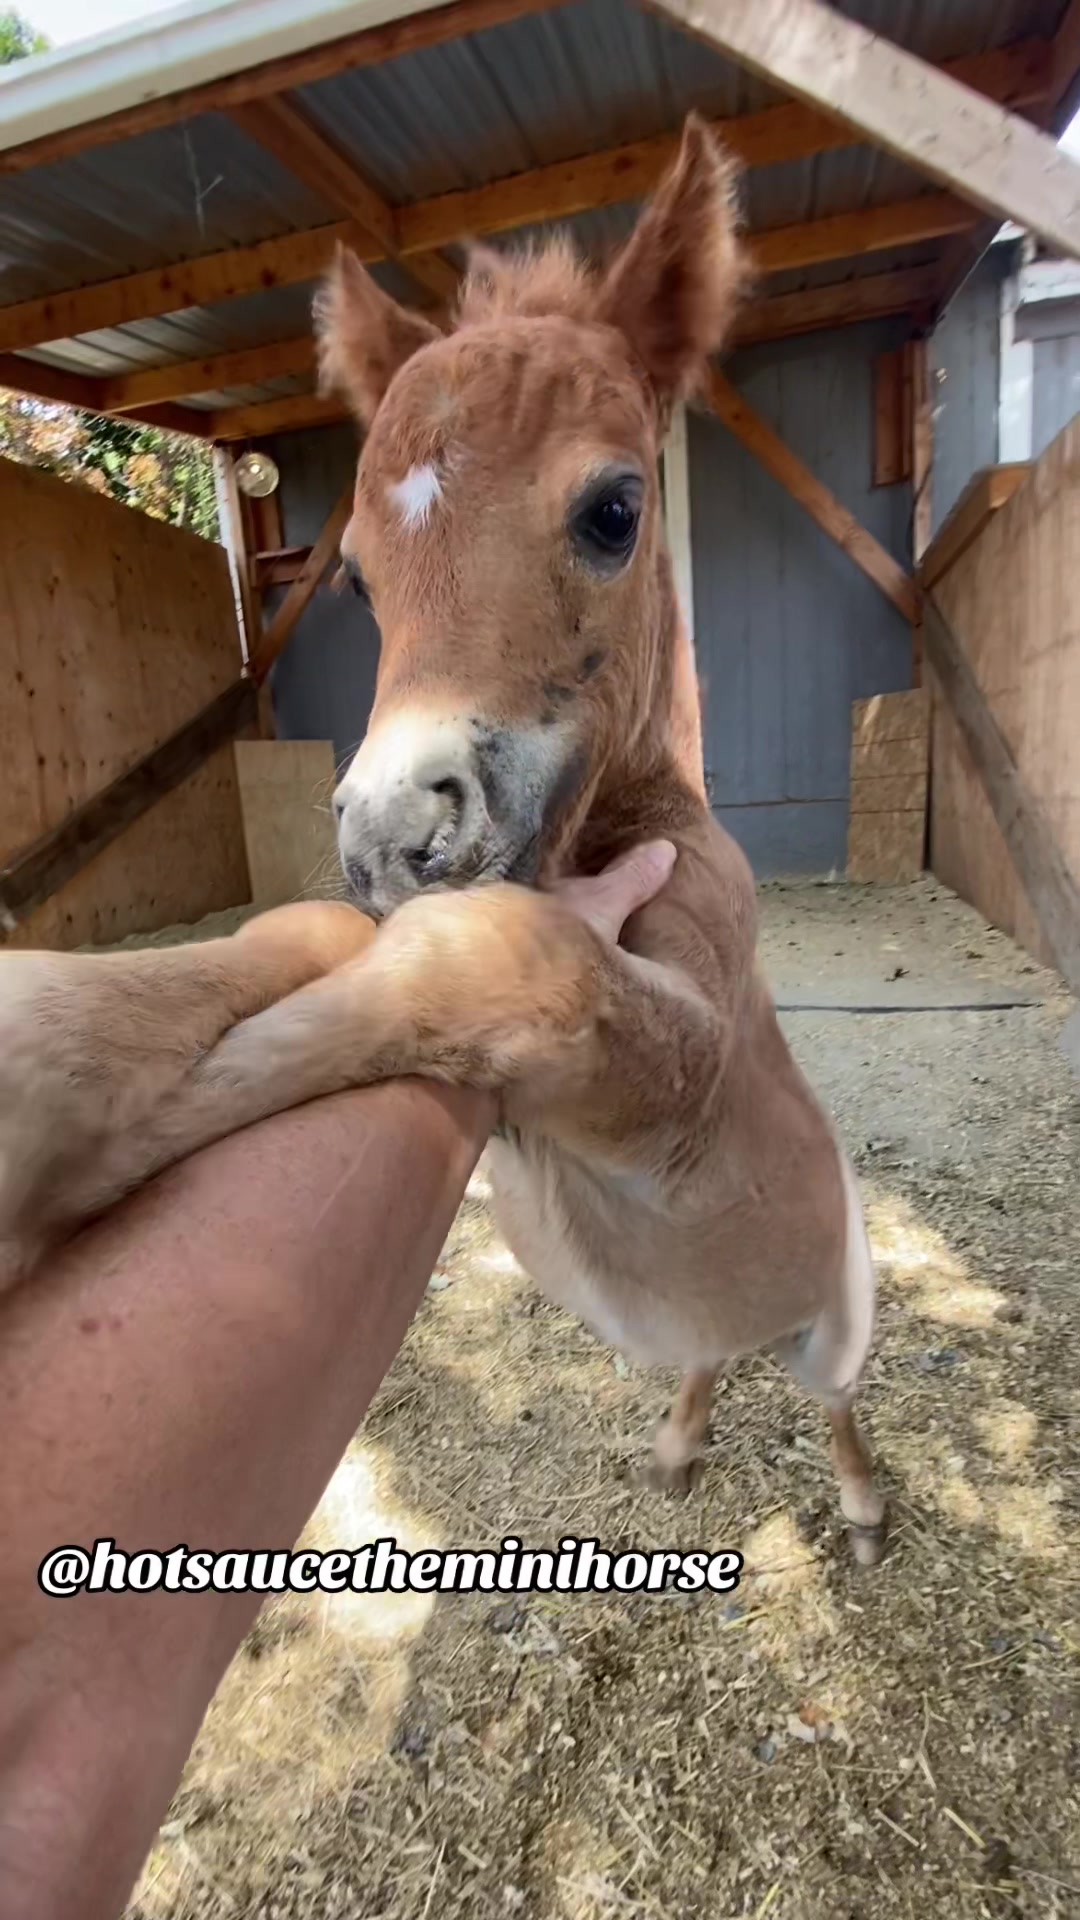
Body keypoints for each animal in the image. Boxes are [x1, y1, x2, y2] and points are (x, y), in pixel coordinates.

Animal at [0, 117, 885, 1563]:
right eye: (356, 574)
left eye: (615, 510)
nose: (392, 831)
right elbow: (305, 932)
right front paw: (49, 1073)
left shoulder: (681, 1054)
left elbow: (501, 960)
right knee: (707, 1349)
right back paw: (680, 1444)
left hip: (839, 1308)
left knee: (830, 1388)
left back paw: (860, 1502)